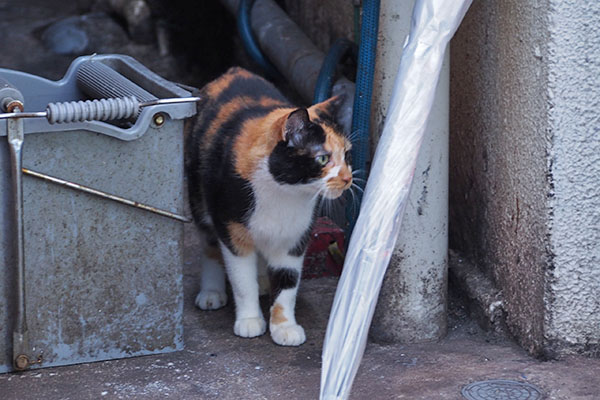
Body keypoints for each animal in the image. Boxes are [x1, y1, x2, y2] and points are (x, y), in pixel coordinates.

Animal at [186, 67, 352, 346]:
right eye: (322, 158)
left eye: (347, 155)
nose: (348, 178)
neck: (285, 193)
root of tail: (233, 71)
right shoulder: (233, 232)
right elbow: (242, 282)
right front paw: (250, 320)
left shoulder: (295, 238)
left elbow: (287, 285)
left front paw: (284, 327)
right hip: (199, 199)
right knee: (209, 243)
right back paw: (212, 292)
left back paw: (263, 280)